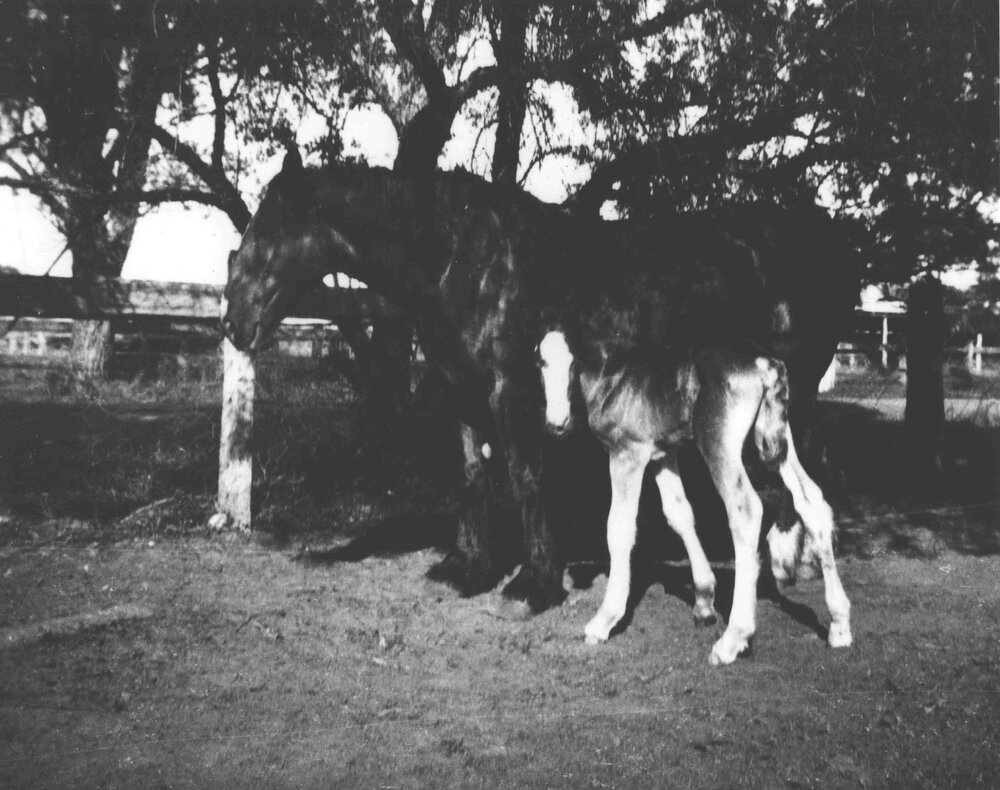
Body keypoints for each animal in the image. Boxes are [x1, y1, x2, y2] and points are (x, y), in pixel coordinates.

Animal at [222, 148, 858, 617]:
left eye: (272, 228)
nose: (234, 322)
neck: (465, 261)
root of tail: (817, 234)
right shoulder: (462, 391)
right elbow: (473, 475)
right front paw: (467, 568)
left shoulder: (512, 391)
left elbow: (525, 478)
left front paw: (534, 584)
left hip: (790, 393)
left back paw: (787, 564)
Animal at [537, 324, 853, 664]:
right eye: (541, 362)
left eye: (573, 362)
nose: (556, 422)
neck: (614, 374)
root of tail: (765, 364)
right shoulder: (663, 454)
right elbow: (679, 514)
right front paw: (703, 603)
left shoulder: (627, 453)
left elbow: (618, 529)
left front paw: (604, 620)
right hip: (776, 440)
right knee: (811, 501)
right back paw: (839, 625)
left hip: (718, 445)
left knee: (745, 510)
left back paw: (733, 640)